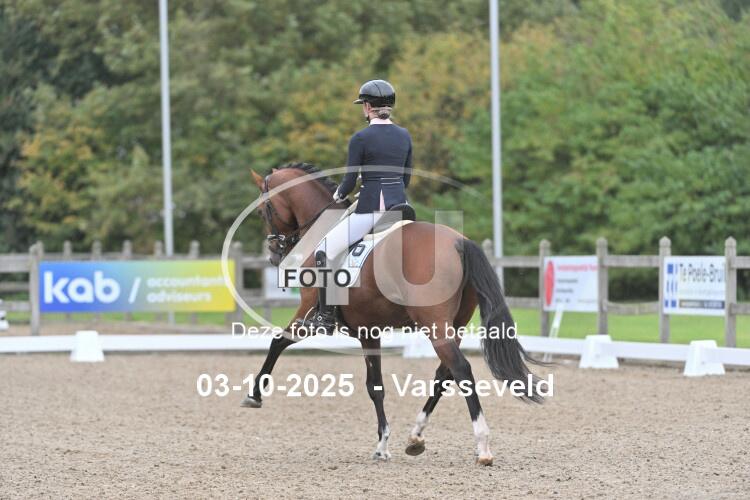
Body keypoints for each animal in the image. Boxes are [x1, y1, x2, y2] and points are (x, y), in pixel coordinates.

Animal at [241, 162, 543, 465]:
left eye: (262, 211)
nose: (273, 254)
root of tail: (459, 242)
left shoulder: (308, 313)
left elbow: (278, 342)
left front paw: (254, 396)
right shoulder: (369, 331)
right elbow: (376, 385)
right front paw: (384, 444)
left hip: (435, 325)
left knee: (460, 369)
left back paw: (482, 446)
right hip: (454, 325)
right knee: (443, 374)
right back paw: (416, 437)